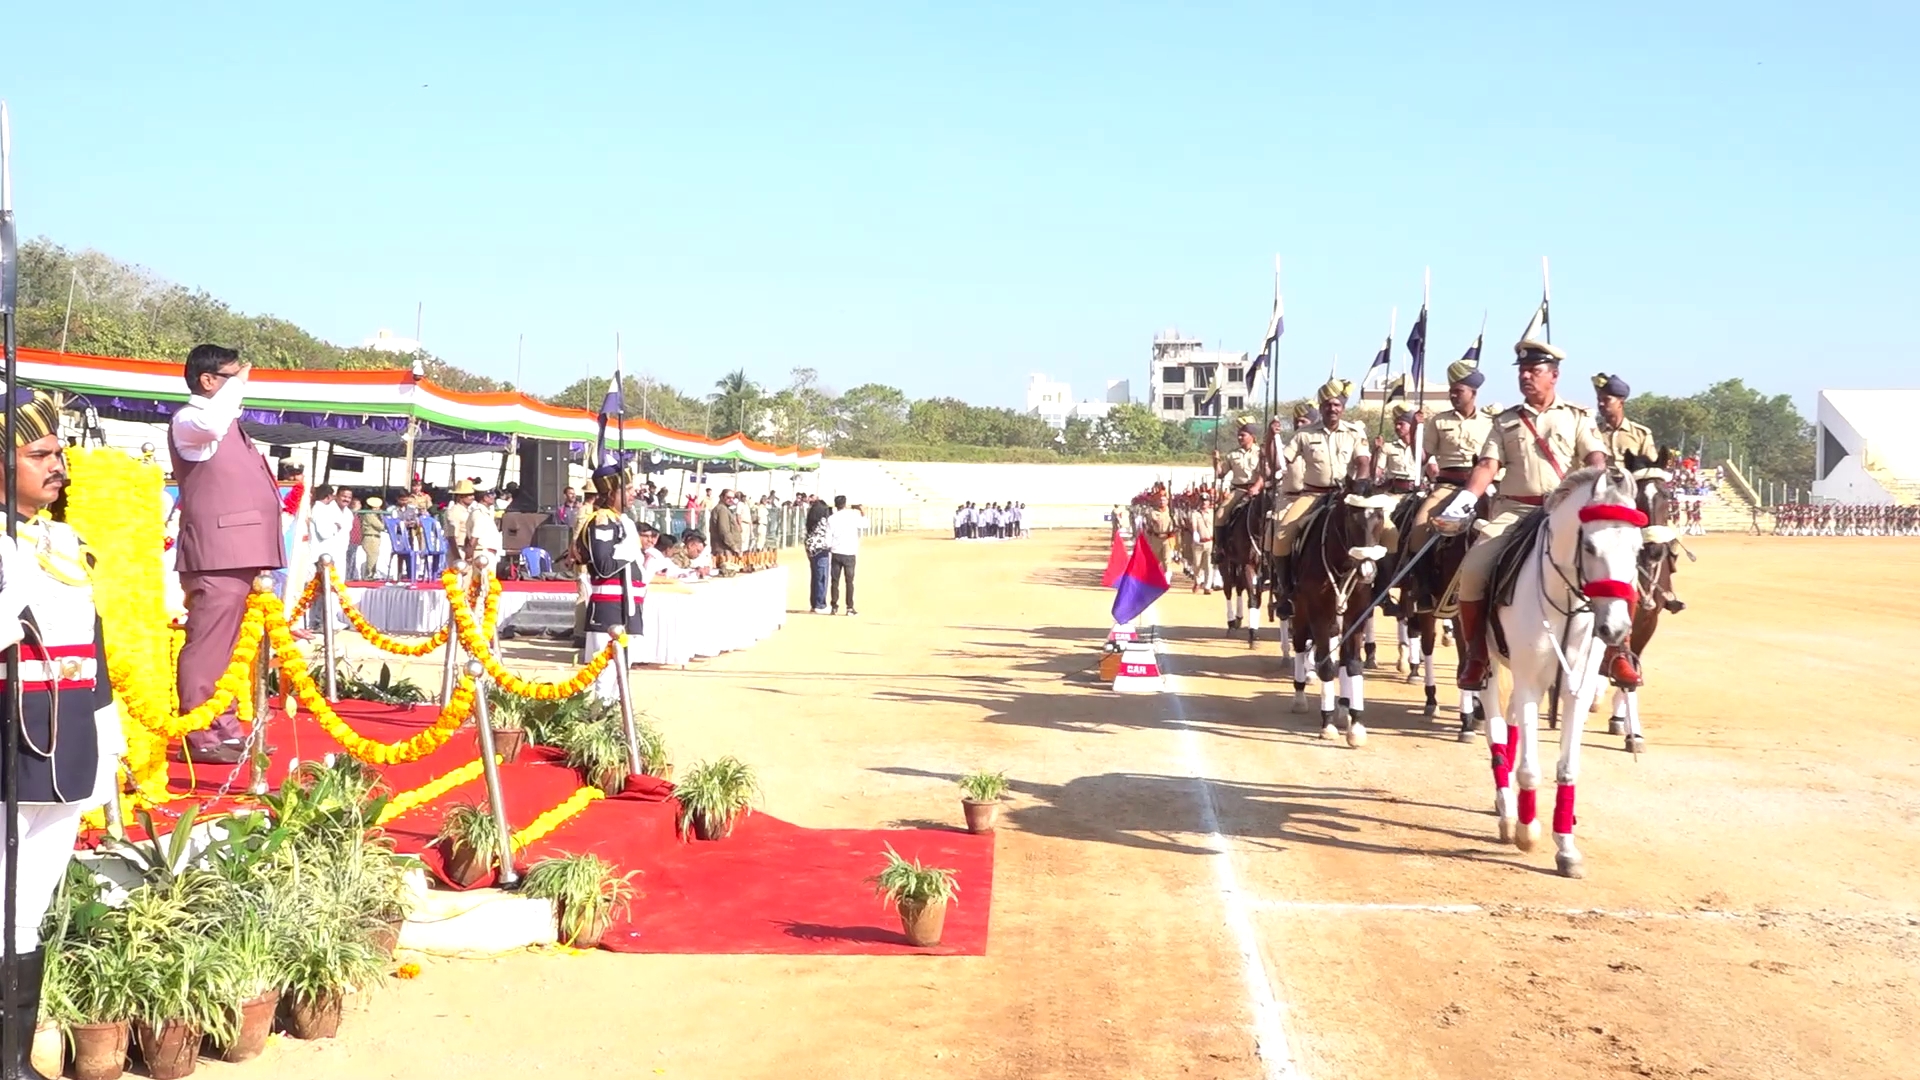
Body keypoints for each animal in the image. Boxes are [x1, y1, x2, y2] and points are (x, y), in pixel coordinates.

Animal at [1290, 476, 1397, 737]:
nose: (1368, 571)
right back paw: (1300, 697)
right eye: (1351, 518)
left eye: (1380, 517)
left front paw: (1355, 723)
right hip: (1300, 611)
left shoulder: (1356, 613)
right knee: (1299, 644)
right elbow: (1327, 666)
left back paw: (1343, 709)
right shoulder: (1318, 612)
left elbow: (1353, 664)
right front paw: (1327, 722)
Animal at [1474, 463, 1643, 876]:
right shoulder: (1530, 682)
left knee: (1512, 726)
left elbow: (1568, 767)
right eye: (1590, 547)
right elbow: (1529, 768)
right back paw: (1508, 811)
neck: (1566, 598)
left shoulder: (1575, 688)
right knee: (1496, 731)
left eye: (1637, 549)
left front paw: (1566, 846)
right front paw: (1526, 830)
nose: (1615, 628)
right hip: (1488, 663)